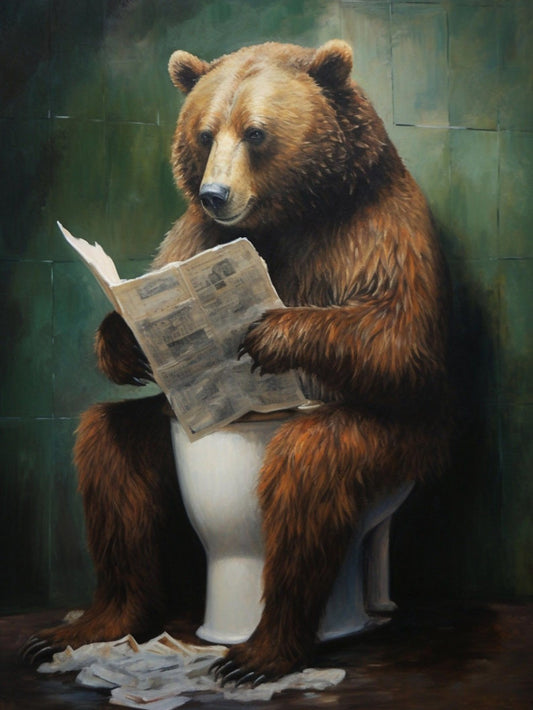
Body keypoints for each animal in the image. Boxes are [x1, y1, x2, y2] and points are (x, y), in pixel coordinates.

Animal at [23, 40, 450, 684]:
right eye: (205, 134)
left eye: (256, 133)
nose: (214, 194)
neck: (288, 217)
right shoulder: (198, 238)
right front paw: (127, 341)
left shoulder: (375, 231)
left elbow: (400, 341)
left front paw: (268, 332)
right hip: (169, 432)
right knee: (109, 454)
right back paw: (90, 624)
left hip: (393, 441)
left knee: (307, 477)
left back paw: (259, 652)